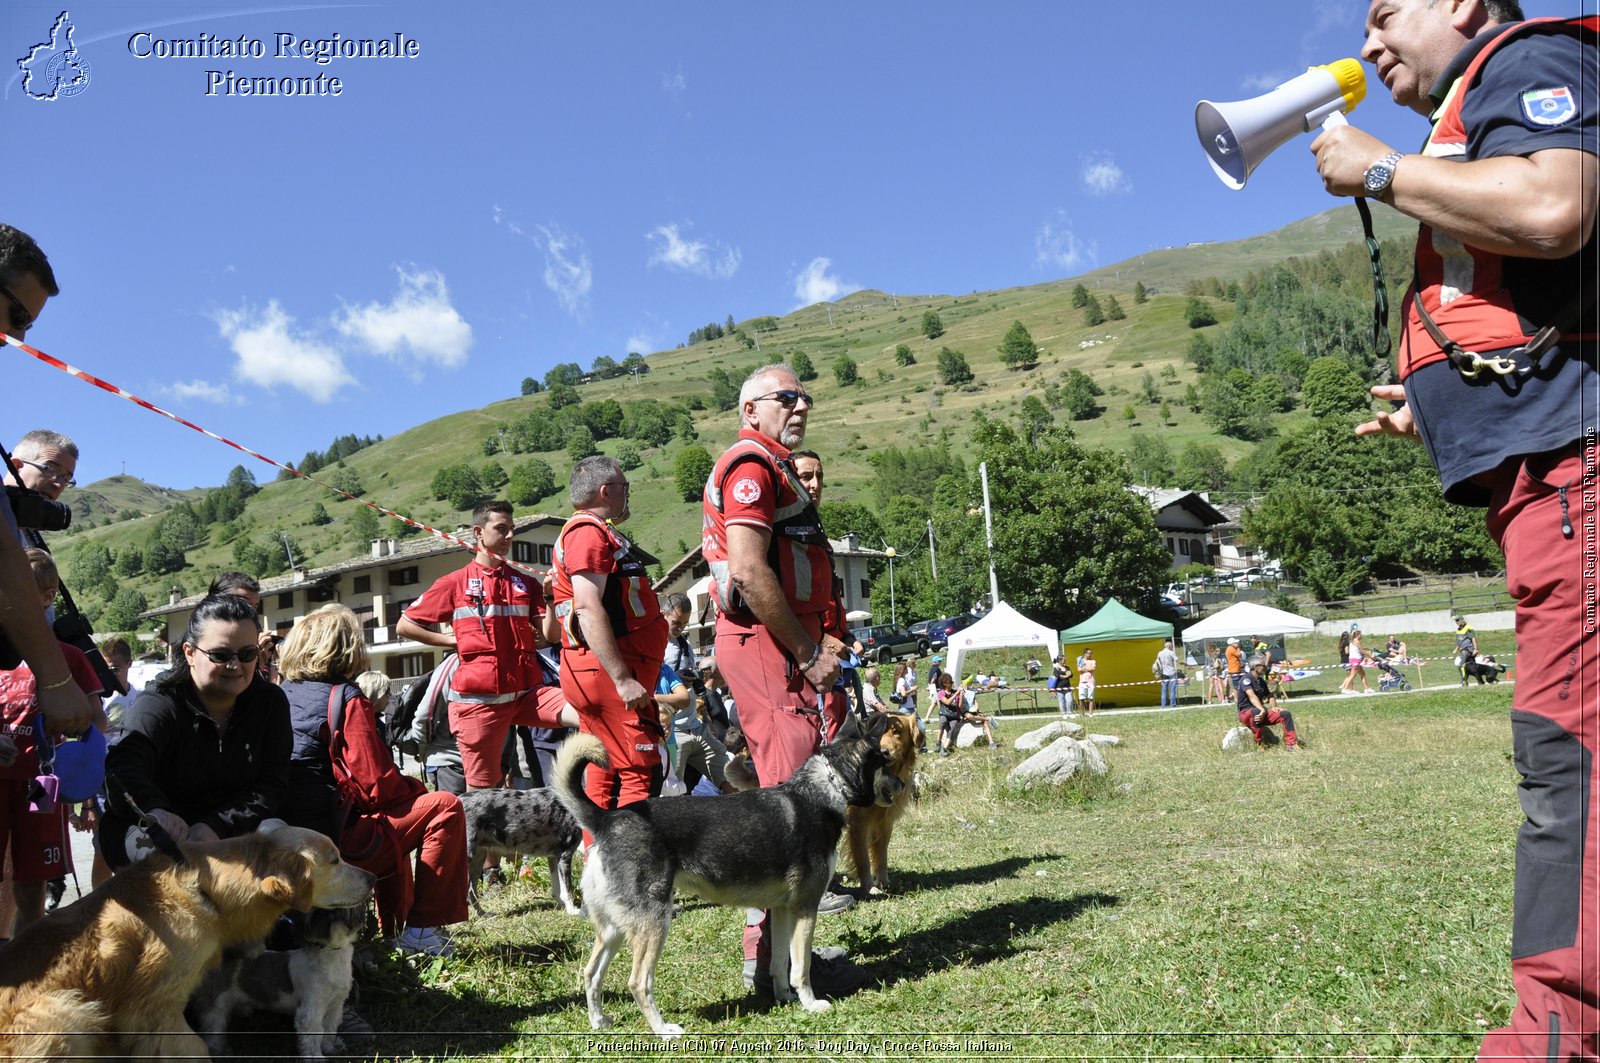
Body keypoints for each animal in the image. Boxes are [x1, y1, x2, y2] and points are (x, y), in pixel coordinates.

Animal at [192, 902, 366, 1063]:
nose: (331, 912)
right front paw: (315, 1057)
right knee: (213, 1028)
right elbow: (314, 1034)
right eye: (317, 913)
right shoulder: (311, 1009)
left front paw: (329, 1048)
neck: (330, 955)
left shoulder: (335, 1006)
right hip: (216, 1004)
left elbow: (329, 1029)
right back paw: (217, 1050)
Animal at [460, 784, 585, 915]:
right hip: (468, 857)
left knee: (471, 892)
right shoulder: (565, 854)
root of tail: (458, 798)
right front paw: (573, 911)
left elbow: (557, 890)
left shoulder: (553, 857)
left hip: (478, 859)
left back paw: (483, 914)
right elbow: (567, 890)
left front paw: (562, 906)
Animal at [550, 714, 902, 1037]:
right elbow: (801, 968)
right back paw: (664, 1030)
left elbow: (778, 964)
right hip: (654, 922)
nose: (902, 786)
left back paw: (599, 1022)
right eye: (885, 759)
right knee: (638, 982)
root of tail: (606, 819)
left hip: (615, 928)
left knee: (591, 973)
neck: (823, 789)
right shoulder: (805, 907)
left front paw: (784, 998)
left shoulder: (781, 909)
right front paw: (811, 1004)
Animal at [844, 714, 921, 896]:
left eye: (897, 731)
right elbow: (863, 858)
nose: (884, 751)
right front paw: (869, 887)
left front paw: (883, 881)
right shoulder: (858, 822)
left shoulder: (885, 821)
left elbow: (881, 853)